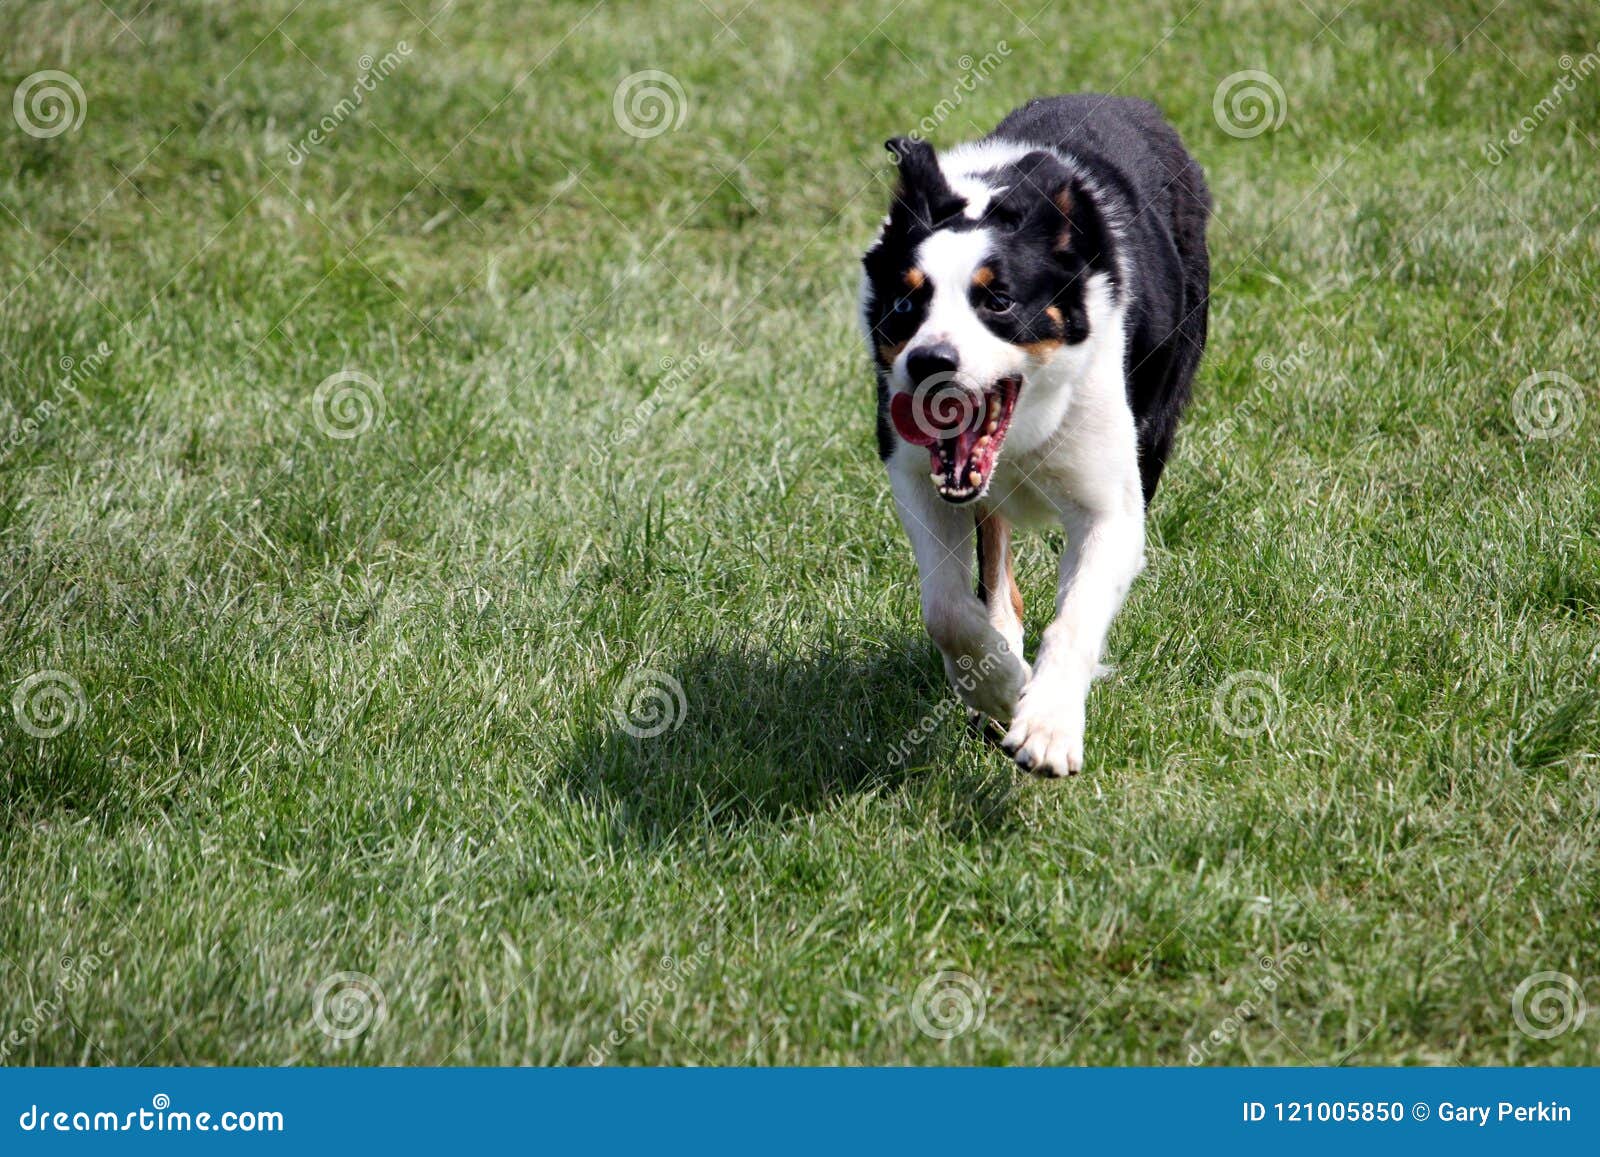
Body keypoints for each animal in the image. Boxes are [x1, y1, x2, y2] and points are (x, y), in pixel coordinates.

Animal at [857, 92, 1203, 777]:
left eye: (998, 301)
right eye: (906, 305)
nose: (928, 362)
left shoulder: (1111, 503)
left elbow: (1076, 614)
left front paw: (1047, 728)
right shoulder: (914, 473)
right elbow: (947, 607)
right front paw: (1000, 687)